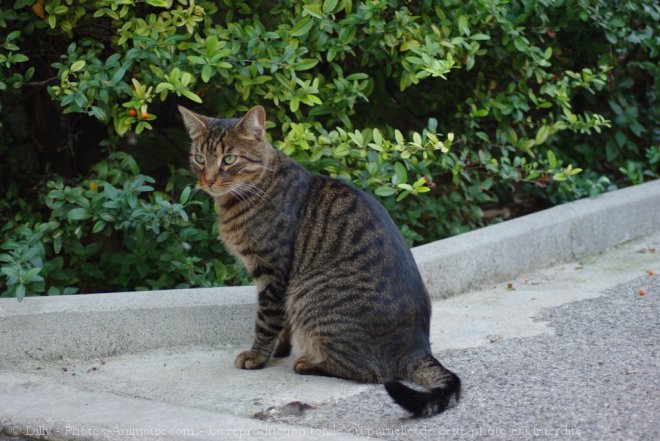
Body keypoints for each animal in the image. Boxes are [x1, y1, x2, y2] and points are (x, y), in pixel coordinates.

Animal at [178, 105, 462, 414]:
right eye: (199, 158)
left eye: (229, 159)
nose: (208, 179)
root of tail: (418, 348)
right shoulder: (280, 283)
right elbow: (282, 323)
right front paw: (279, 350)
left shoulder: (273, 272)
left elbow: (266, 320)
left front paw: (257, 357)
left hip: (309, 297)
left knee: (371, 372)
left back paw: (309, 363)